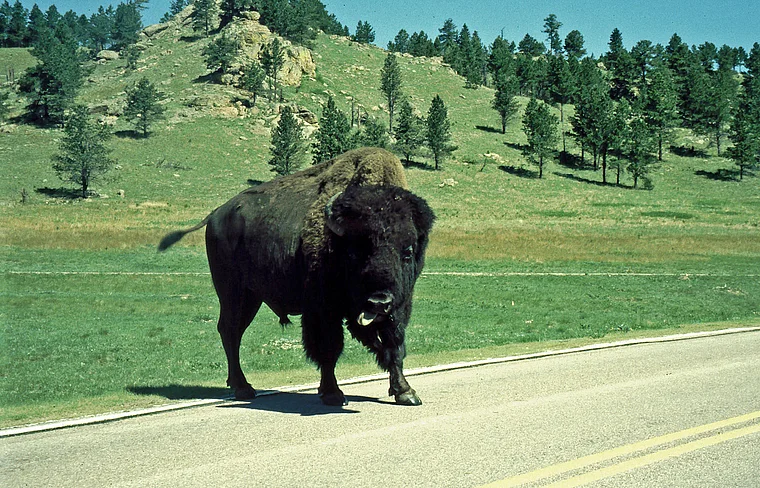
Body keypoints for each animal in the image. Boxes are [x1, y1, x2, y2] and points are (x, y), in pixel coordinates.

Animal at [159, 148, 435, 406]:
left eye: (408, 251)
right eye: (355, 251)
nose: (378, 301)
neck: (337, 243)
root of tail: (216, 214)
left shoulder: (397, 308)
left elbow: (394, 345)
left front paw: (406, 392)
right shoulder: (323, 310)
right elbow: (329, 348)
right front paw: (333, 394)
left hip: (251, 297)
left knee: (233, 332)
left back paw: (241, 386)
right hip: (232, 293)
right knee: (230, 331)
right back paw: (243, 388)